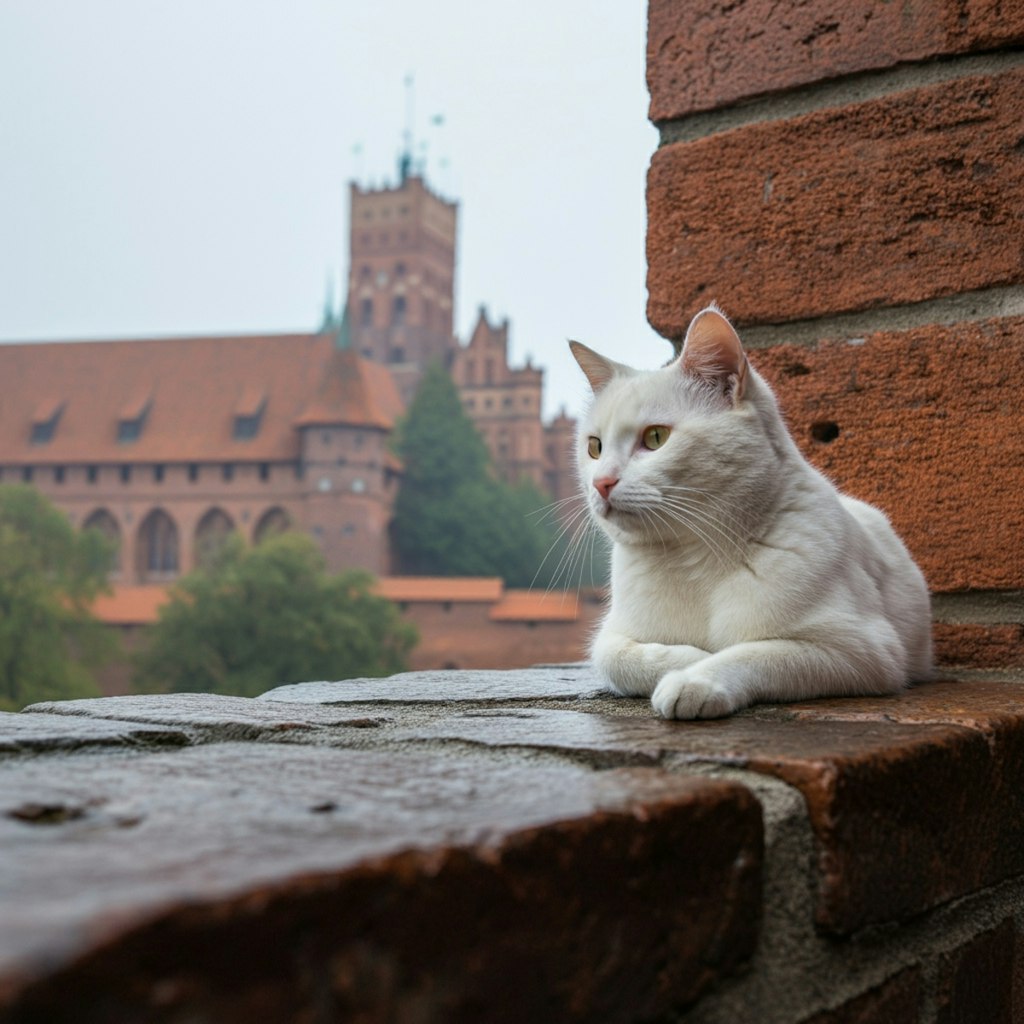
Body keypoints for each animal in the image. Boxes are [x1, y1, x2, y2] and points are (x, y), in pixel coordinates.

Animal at [573, 305, 933, 720]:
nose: (601, 482)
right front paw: (687, 658)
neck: (692, 559)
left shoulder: (864, 650)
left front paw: (695, 678)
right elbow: (619, 659)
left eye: (656, 438)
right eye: (595, 447)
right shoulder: (611, 636)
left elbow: (758, 652)